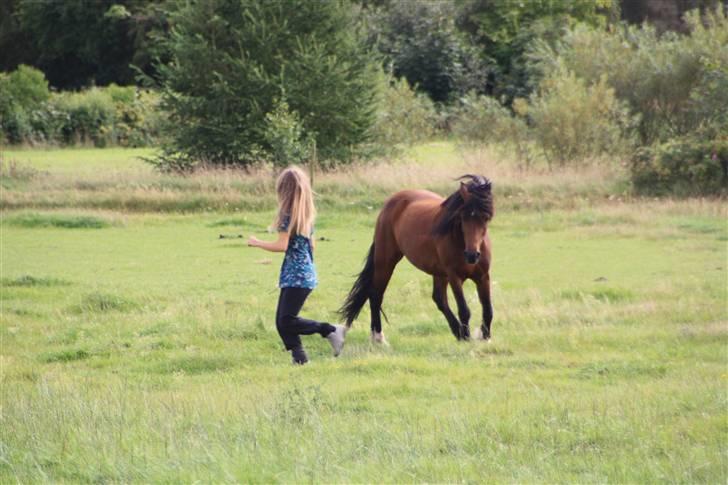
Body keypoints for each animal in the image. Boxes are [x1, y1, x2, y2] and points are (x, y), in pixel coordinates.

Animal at [342, 174, 494, 340]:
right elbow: (464, 310)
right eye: (463, 217)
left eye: (486, 218)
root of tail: (392, 201)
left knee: (439, 299)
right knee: (375, 295)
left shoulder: (483, 277)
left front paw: (485, 338)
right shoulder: (455, 277)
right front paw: (467, 338)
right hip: (386, 260)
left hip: (439, 273)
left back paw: (457, 332)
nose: (472, 255)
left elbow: (488, 310)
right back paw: (378, 338)